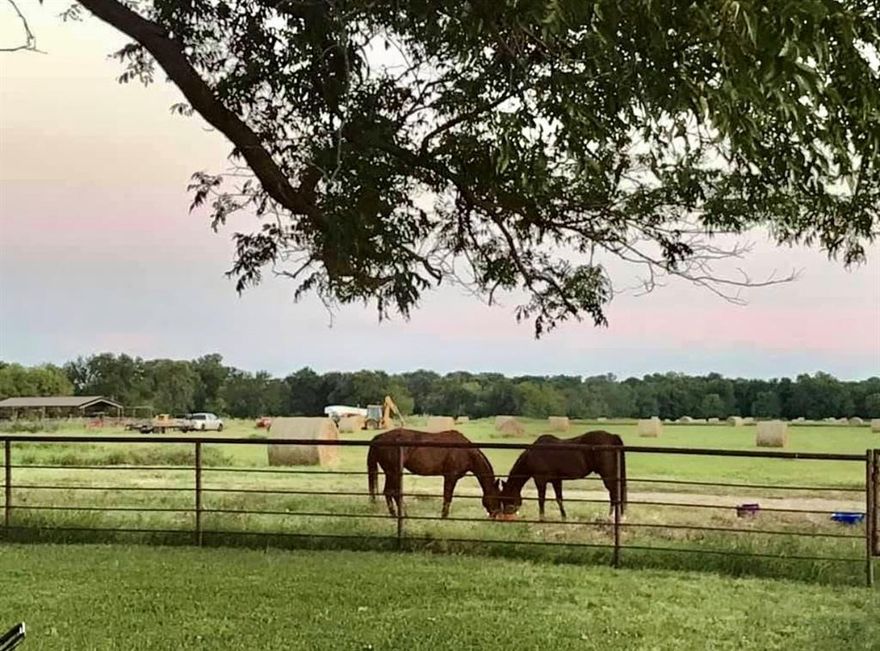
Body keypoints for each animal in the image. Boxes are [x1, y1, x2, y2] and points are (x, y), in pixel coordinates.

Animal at [367, 428, 502, 518]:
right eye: (497, 498)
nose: (495, 514)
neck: (466, 452)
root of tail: (379, 437)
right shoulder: (450, 477)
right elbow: (447, 497)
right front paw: (444, 517)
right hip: (393, 472)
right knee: (392, 492)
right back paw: (400, 515)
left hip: (391, 473)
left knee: (389, 492)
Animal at [498, 430, 626, 520]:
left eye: (506, 497)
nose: (505, 514)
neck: (532, 455)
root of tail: (612, 437)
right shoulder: (556, 480)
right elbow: (559, 498)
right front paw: (564, 517)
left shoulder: (540, 480)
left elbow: (541, 499)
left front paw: (542, 518)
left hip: (608, 476)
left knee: (614, 494)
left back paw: (611, 517)